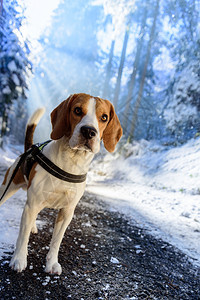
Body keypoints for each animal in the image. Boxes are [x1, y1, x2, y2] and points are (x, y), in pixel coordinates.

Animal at [0, 93, 122, 274]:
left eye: (104, 117)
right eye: (77, 110)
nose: (89, 131)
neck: (71, 162)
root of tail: (29, 149)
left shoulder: (67, 212)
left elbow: (56, 242)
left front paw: (51, 264)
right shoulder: (33, 204)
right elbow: (23, 237)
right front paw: (18, 260)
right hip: (8, 187)